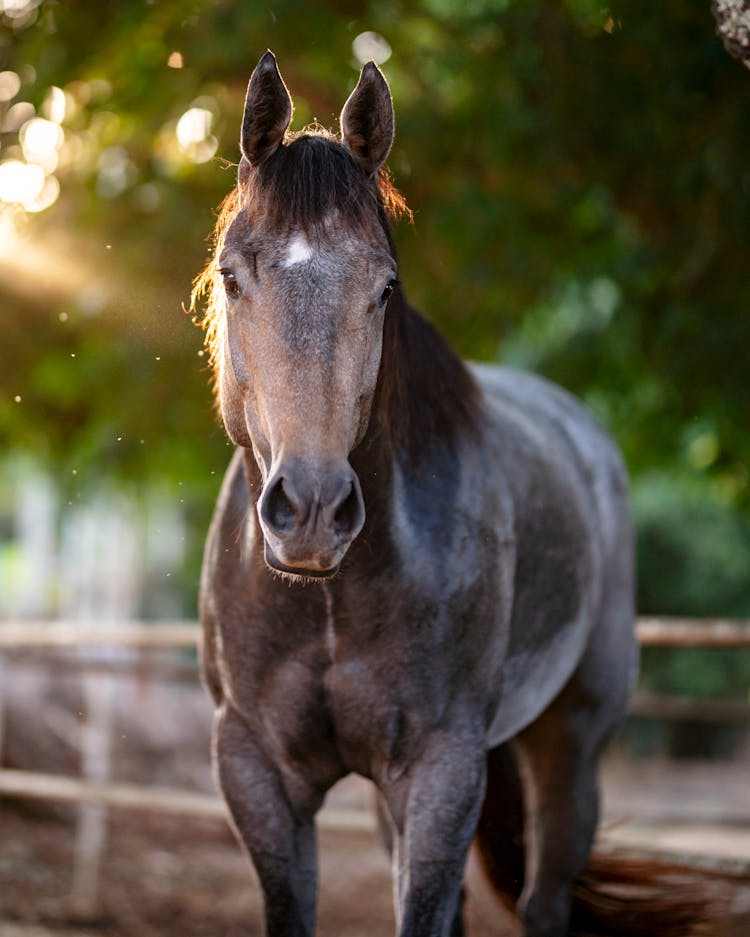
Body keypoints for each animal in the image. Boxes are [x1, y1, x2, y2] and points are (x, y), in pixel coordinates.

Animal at [192, 53, 716, 936]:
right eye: (231, 277)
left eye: (384, 287)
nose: (313, 512)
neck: (329, 598)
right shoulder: (256, 772)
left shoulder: (443, 769)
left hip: (571, 743)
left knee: (545, 896)